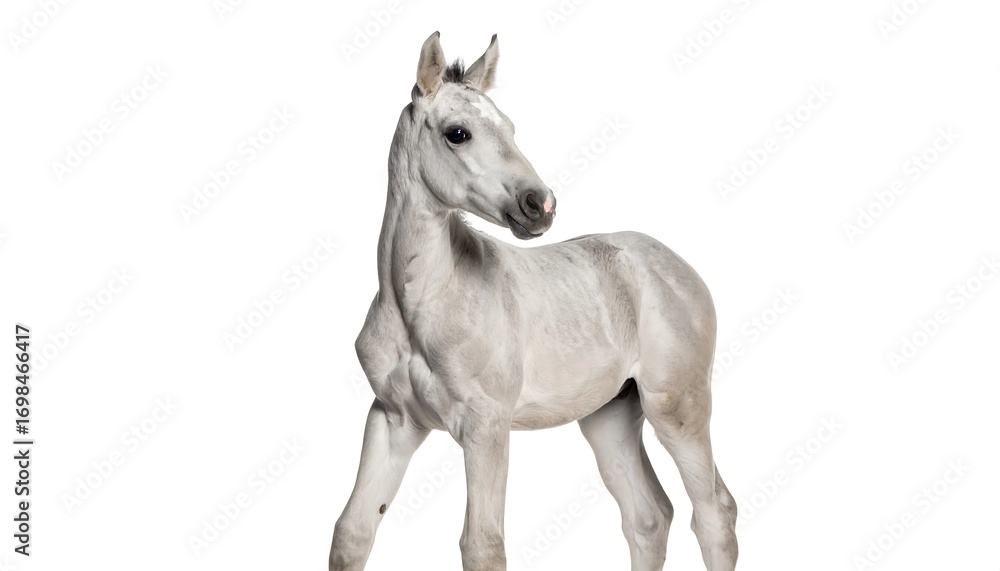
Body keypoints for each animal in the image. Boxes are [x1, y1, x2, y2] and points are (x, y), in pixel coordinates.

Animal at [329, 32, 738, 571]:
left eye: (510, 127)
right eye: (457, 133)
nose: (539, 205)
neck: (419, 303)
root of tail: (679, 265)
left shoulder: (486, 426)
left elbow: (482, 545)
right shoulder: (393, 420)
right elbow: (352, 532)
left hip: (678, 406)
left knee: (713, 513)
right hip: (610, 415)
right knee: (649, 516)